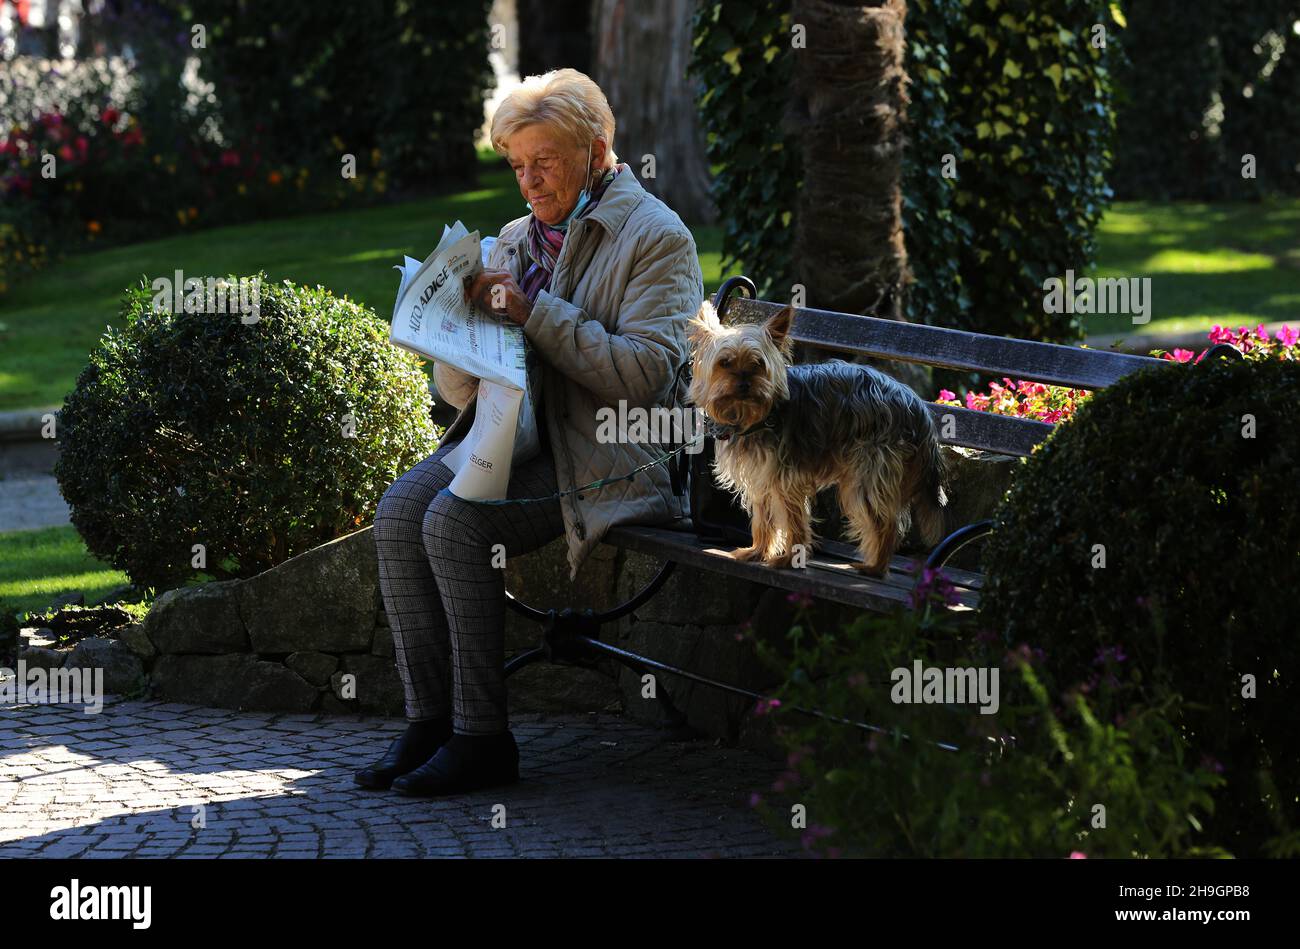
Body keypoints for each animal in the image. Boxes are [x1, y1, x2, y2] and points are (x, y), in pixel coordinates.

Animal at [691, 299, 946, 572]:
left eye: (758, 363)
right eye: (725, 363)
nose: (744, 384)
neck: (754, 416)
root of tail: (918, 406)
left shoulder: (785, 477)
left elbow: (793, 520)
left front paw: (788, 559)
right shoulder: (761, 475)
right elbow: (763, 519)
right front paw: (757, 551)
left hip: (868, 470)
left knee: (886, 521)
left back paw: (875, 568)